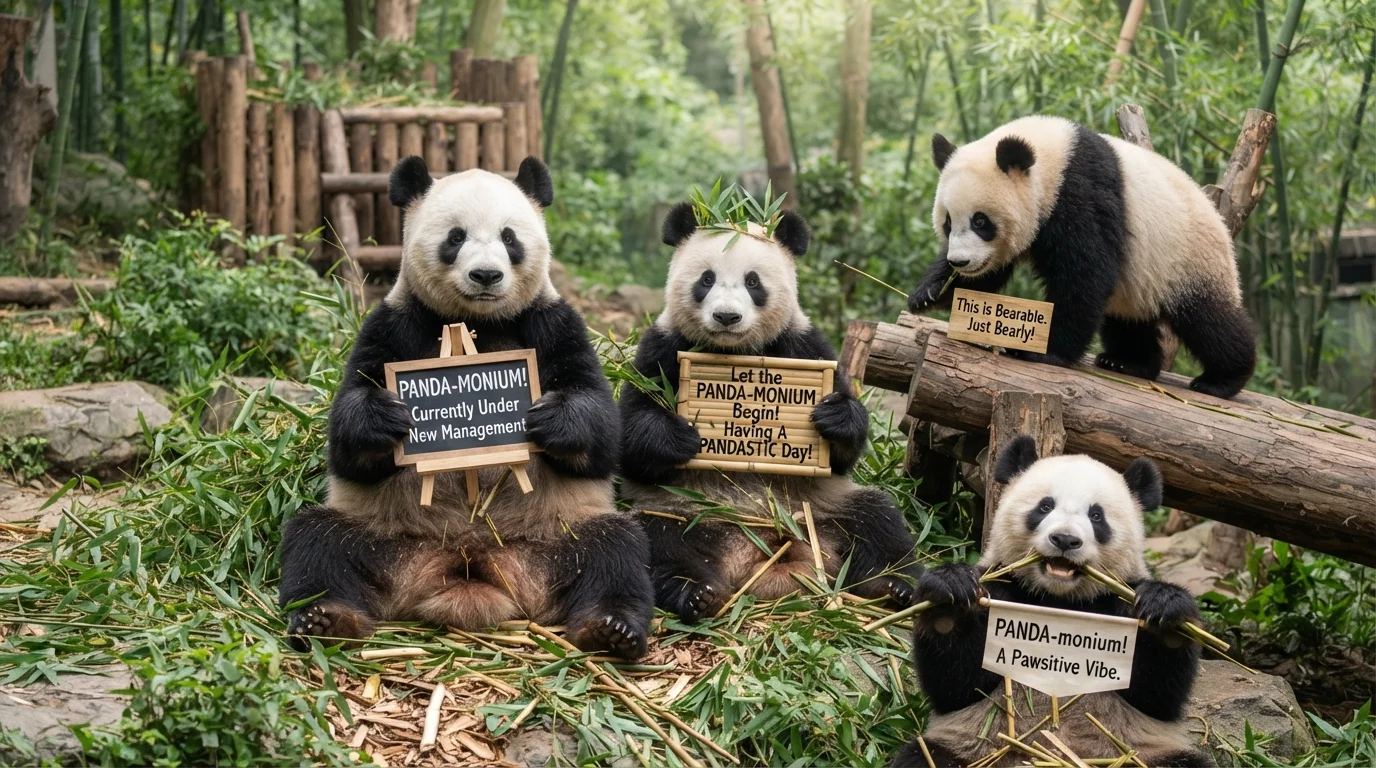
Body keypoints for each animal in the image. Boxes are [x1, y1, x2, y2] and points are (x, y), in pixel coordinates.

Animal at [277, 155, 654, 659]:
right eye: (455, 237)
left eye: (509, 238)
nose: (486, 275)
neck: (478, 324)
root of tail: (468, 563)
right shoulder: (396, 322)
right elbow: (347, 441)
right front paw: (388, 417)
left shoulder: (552, 321)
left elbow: (602, 431)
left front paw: (548, 418)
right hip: (384, 531)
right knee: (317, 543)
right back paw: (324, 618)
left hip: (558, 531)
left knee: (617, 551)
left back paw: (611, 629)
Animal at [619, 201, 922, 623]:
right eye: (707, 279)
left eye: (753, 282)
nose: (727, 317)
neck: (735, 352)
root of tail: (762, 550)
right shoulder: (661, 349)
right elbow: (631, 437)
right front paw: (682, 436)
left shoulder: (803, 346)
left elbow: (845, 453)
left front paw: (834, 418)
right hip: (682, 508)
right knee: (658, 541)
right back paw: (698, 593)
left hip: (823, 506)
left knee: (879, 521)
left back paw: (896, 586)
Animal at [892, 436, 1210, 767]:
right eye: (1045, 506)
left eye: (1096, 516)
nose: (1065, 540)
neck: (1058, 601)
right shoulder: (1002, 589)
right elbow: (957, 687)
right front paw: (950, 597)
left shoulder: (1116, 600)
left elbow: (1156, 696)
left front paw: (1164, 611)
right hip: (969, 749)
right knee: (922, 756)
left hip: (1142, 755)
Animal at [907, 115, 1256, 399]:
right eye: (948, 222)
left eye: (981, 222)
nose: (960, 262)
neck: (1053, 158)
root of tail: (1222, 224)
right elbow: (991, 273)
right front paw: (929, 293)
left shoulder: (1079, 193)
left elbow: (1085, 274)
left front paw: (1045, 351)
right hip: (1139, 281)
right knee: (1128, 319)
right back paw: (1128, 362)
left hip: (1189, 259)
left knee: (1209, 321)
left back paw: (1222, 379)